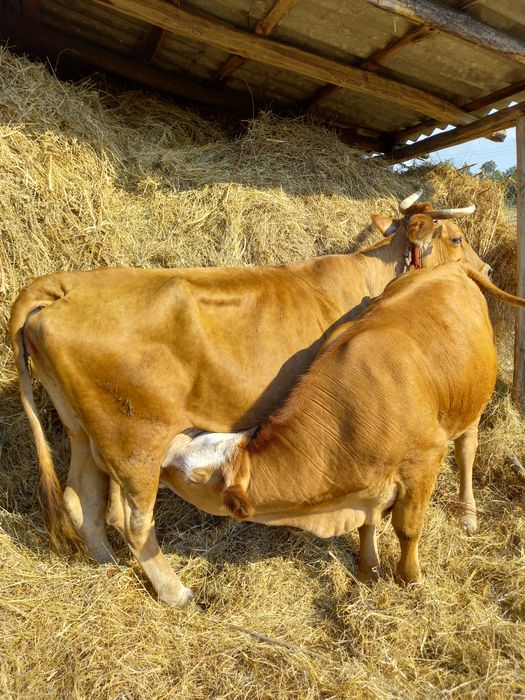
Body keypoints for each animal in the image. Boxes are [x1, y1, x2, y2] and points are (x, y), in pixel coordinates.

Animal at [162, 263, 525, 586]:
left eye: (194, 476)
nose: (160, 461)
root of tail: (450, 266)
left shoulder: (424, 460)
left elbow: (407, 528)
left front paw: (409, 578)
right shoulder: (364, 483)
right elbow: (367, 524)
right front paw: (368, 569)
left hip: (472, 402)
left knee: (466, 451)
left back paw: (467, 513)